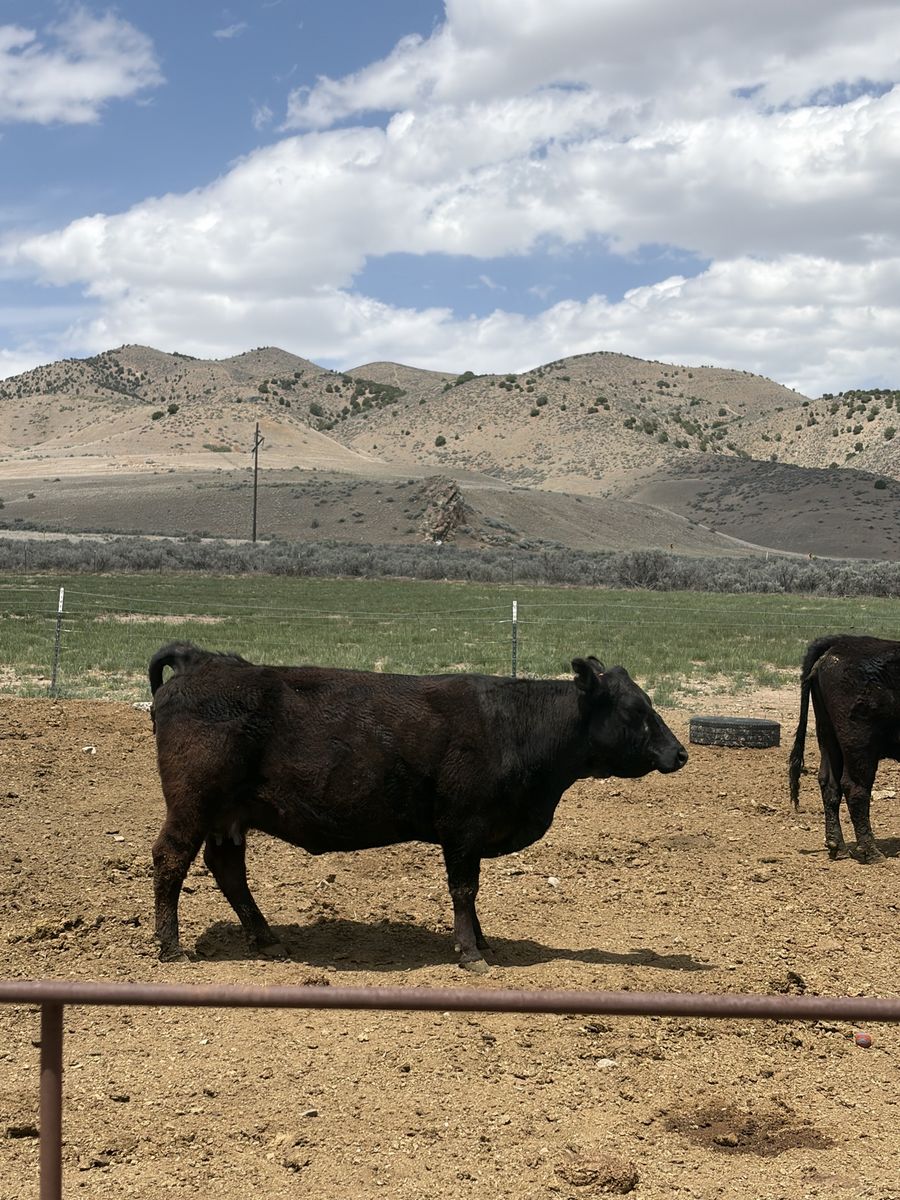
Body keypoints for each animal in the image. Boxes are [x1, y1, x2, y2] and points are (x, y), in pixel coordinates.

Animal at [148, 642, 688, 971]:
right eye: (636, 710)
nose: (679, 753)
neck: (515, 726)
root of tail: (201, 661)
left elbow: (471, 894)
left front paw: (482, 941)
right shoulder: (463, 828)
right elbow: (464, 890)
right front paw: (470, 952)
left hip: (227, 816)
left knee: (227, 867)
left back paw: (266, 939)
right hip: (193, 805)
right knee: (171, 859)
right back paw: (171, 946)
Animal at [788, 634, 900, 864]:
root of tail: (840, 642)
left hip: (828, 737)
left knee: (829, 784)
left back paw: (837, 847)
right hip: (859, 743)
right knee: (855, 788)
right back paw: (871, 852)